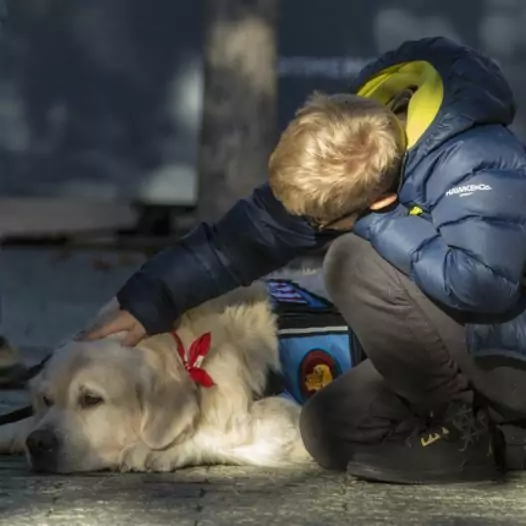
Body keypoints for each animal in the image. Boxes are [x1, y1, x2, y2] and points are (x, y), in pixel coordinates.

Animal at [0, 284, 314, 474]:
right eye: (46, 399)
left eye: (91, 399)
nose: (38, 443)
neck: (186, 352)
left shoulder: (285, 418)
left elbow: (215, 433)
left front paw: (148, 452)